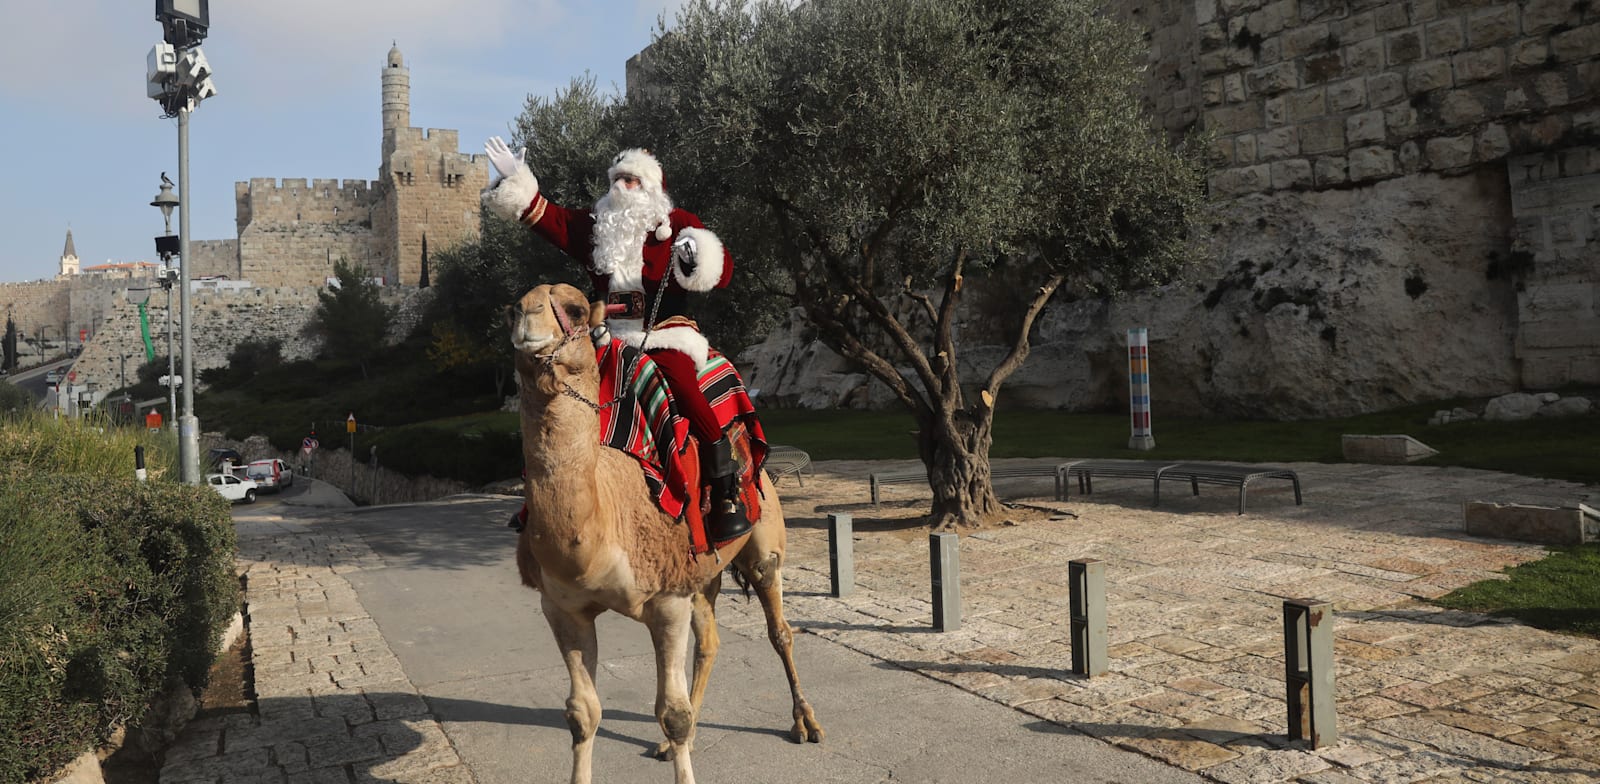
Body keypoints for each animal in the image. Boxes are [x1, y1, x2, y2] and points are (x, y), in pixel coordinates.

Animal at [508, 283, 825, 784]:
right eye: (509, 308)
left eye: (575, 309)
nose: (526, 315)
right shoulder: (562, 607)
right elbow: (583, 713)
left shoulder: (666, 601)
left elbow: (672, 713)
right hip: (702, 573)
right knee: (710, 642)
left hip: (763, 545)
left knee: (780, 631)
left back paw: (805, 722)